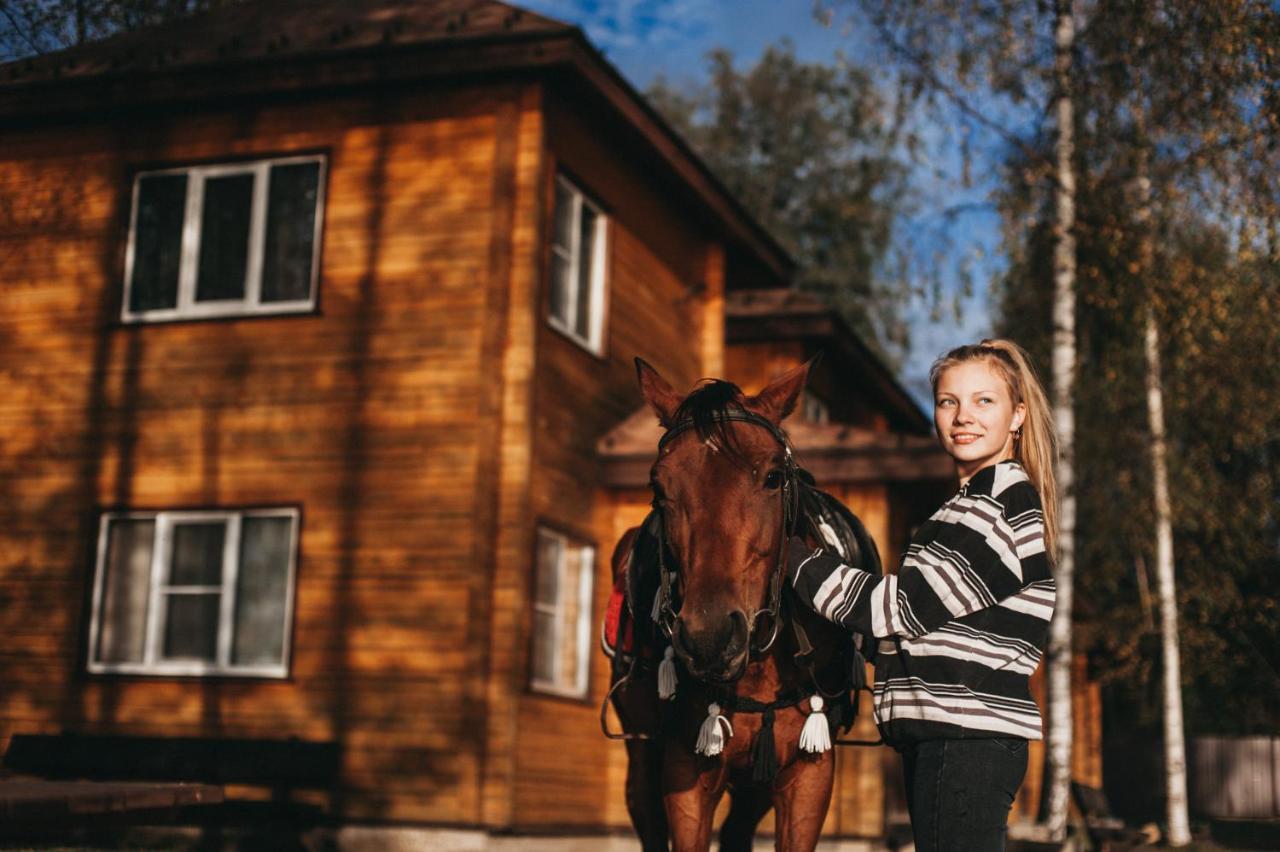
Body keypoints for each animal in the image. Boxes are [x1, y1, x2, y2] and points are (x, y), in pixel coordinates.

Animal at [604, 358, 875, 849]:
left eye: (773, 478)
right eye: (658, 487)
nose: (709, 638)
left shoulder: (808, 775)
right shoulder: (687, 772)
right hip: (644, 749)